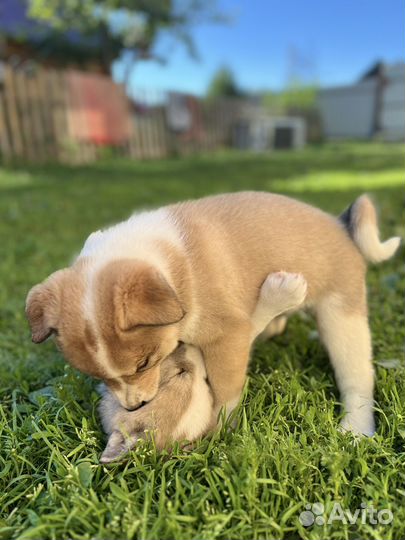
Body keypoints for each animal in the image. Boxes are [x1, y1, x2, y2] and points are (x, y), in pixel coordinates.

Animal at [26, 192, 400, 436]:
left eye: (144, 364)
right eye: (97, 375)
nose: (133, 406)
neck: (173, 267)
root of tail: (341, 226)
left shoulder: (228, 336)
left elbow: (226, 390)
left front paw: (225, 427)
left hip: (342, 317)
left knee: (357, 376)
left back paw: (356, 428)